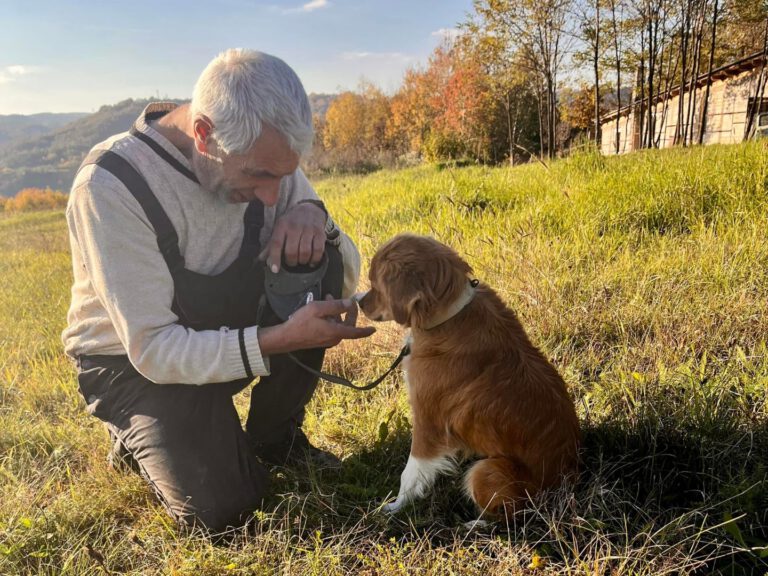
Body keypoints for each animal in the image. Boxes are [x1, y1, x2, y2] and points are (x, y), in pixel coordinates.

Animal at [356, 234, 580, 516]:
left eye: (375, 284)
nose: (357, 300)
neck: (450, 313)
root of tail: (566, 479)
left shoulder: (427, 420)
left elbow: (410, 472)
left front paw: (397, 505)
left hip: (485, 471)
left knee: (510, 514)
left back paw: (476, 522)